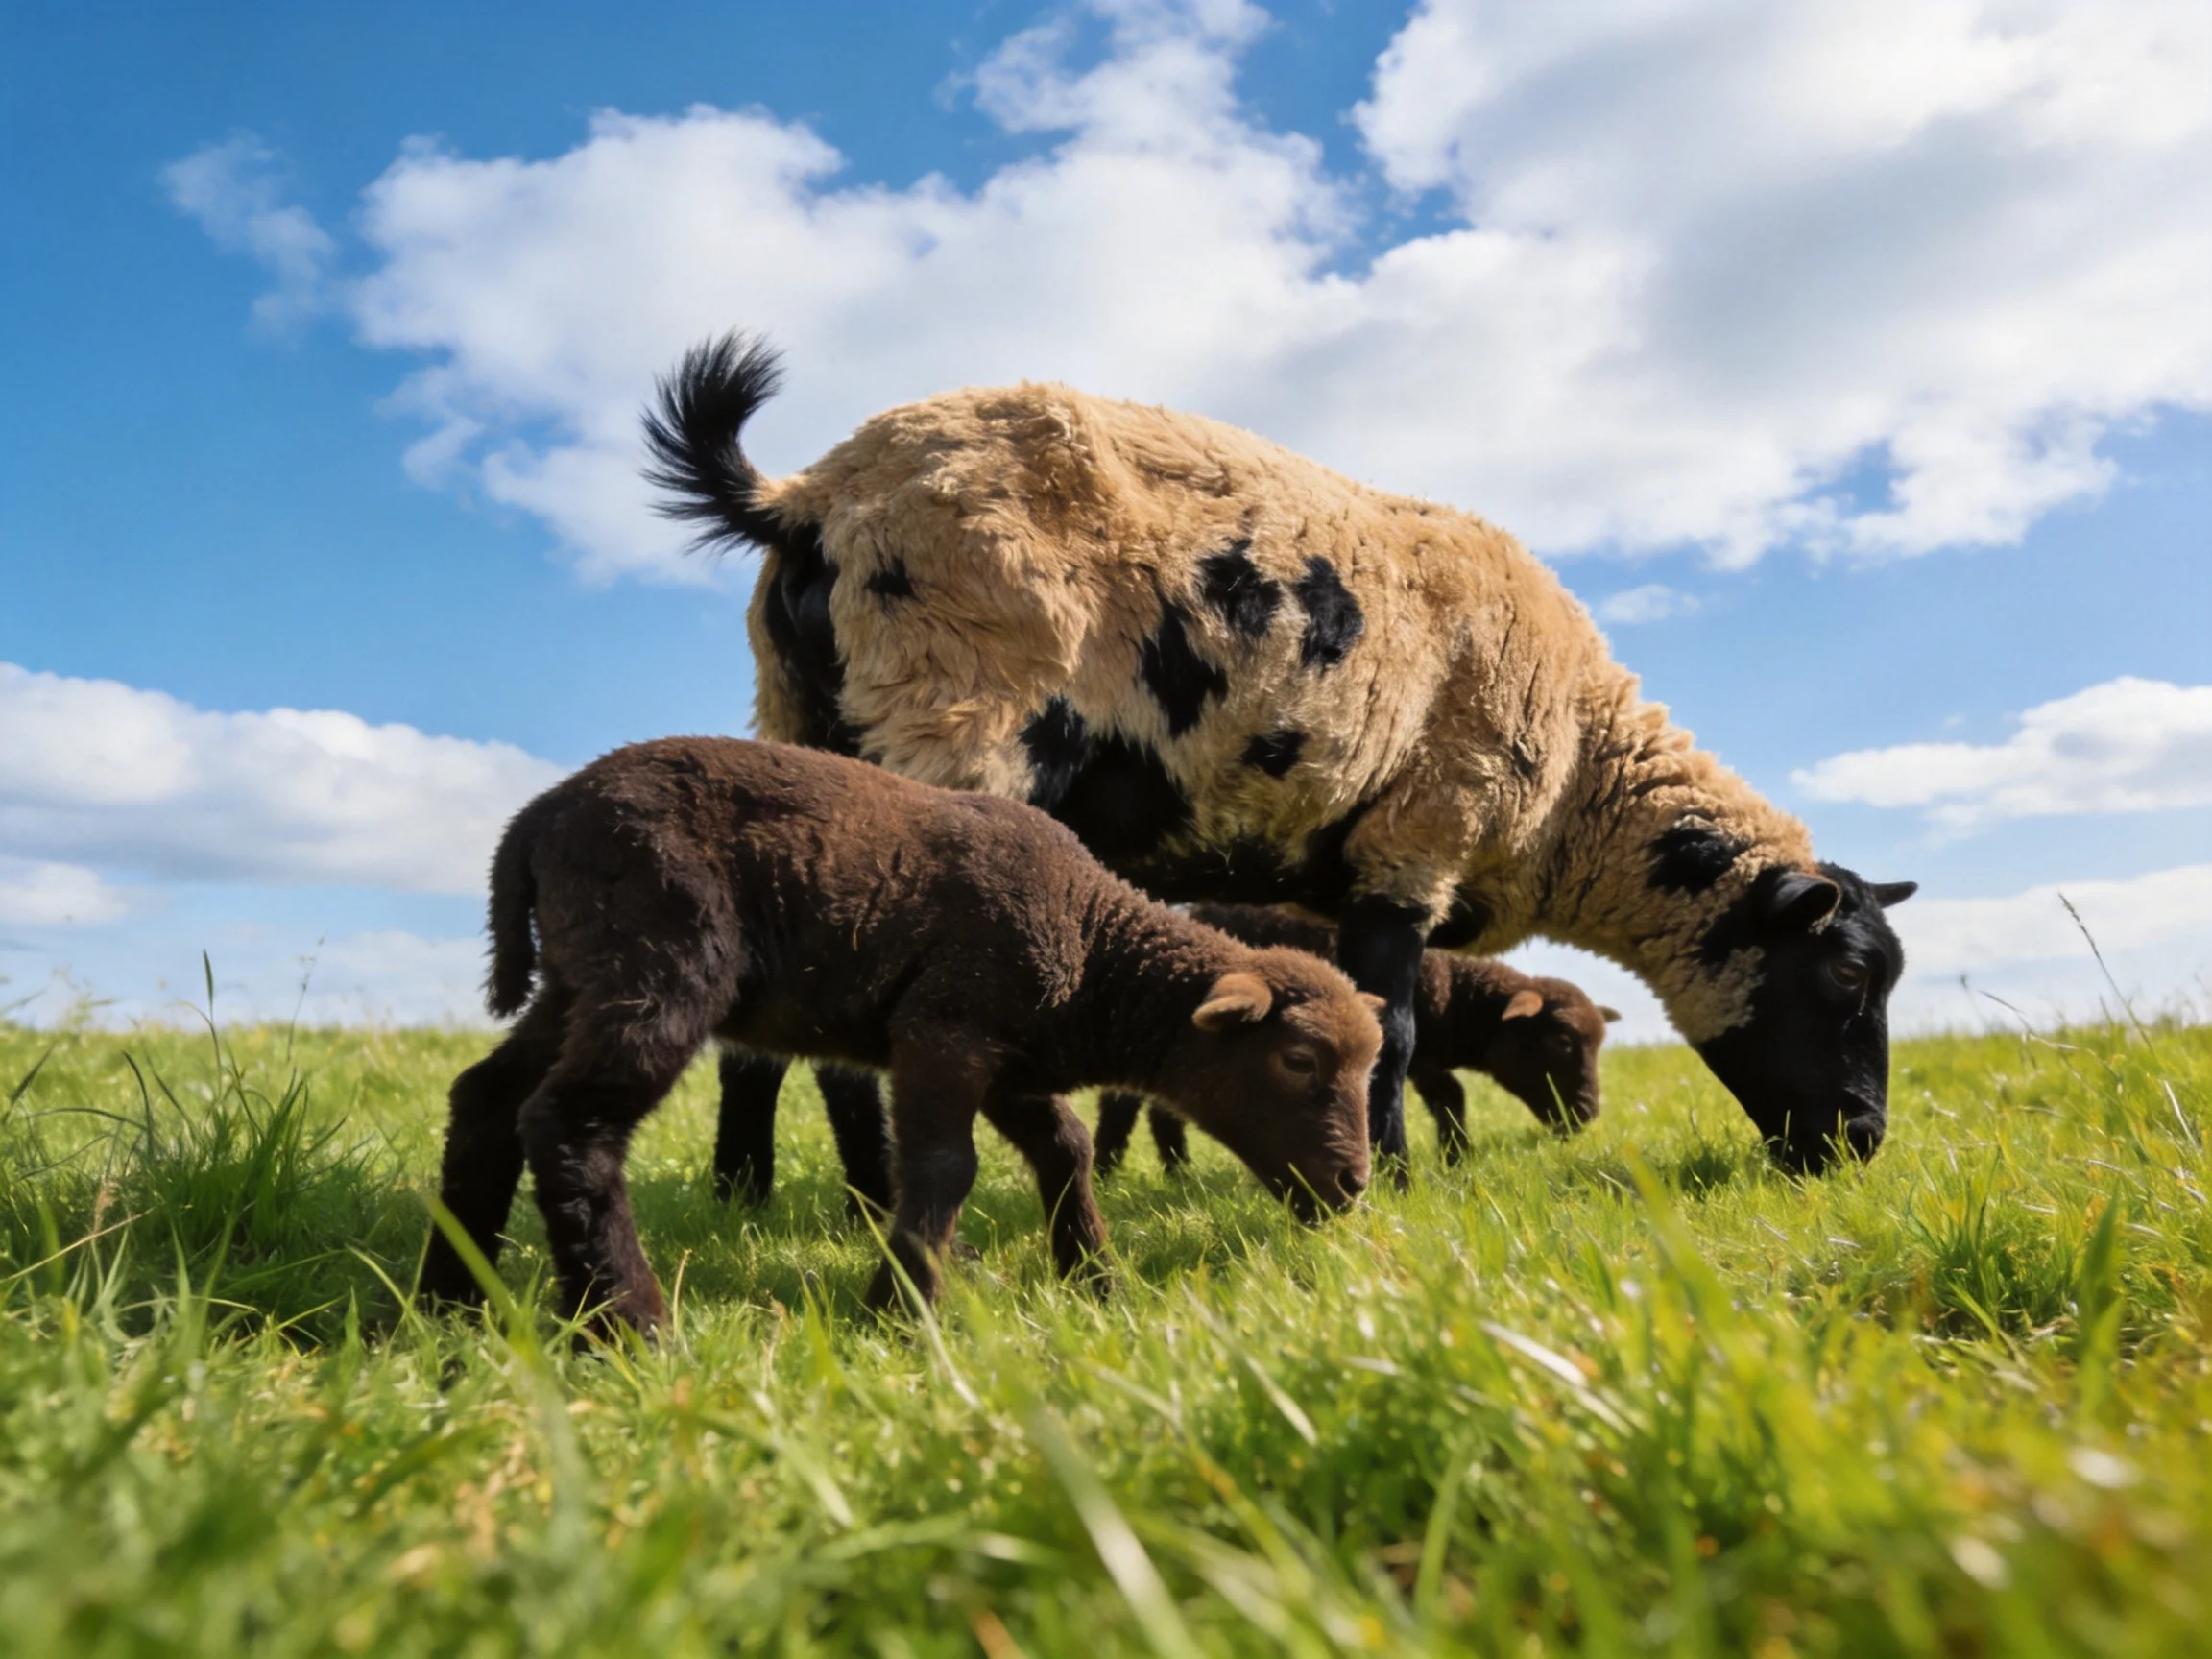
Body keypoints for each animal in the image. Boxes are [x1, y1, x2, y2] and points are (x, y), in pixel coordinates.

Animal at [417, 737, 1380, 1332]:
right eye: (1298, 1059)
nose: (1354, 1185)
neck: (1092, 950)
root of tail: (535, 821)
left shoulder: (1010, 1059)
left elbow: (1064, 1146)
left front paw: (1092, 1278)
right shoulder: (944, 1027)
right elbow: (948, 1166)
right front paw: (898, 1308)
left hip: (579, 972)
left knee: (486, 1098)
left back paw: (450, 1302)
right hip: (658, 958)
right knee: (572, 1123)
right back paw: (627, 1325)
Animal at [1093, 902, 1620, 1176]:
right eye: (1561, 1041)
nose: (1588, 1115)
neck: (1458, 995)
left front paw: (1457, 1156)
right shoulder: (1420, 1055)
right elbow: (1452, 1094)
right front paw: (1455, 1156)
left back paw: (1178, 1172)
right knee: (1119, 1103)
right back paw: (1109, 1170)